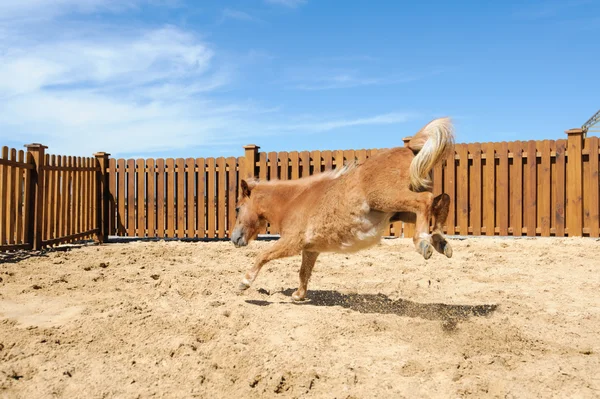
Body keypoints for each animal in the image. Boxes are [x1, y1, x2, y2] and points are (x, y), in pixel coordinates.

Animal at [231, 117, 454, 302]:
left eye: (238, 208)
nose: (234, 238)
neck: (292, 201)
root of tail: (408, 150)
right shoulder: (310, 248)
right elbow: (304, 271)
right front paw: (298, 295)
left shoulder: (291, 242)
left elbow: (263, 255)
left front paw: (244, 282)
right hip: (400, 210)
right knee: (441, 200)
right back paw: (440, 242)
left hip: (389, 200)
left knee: (425, 201)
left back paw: (423, 242)